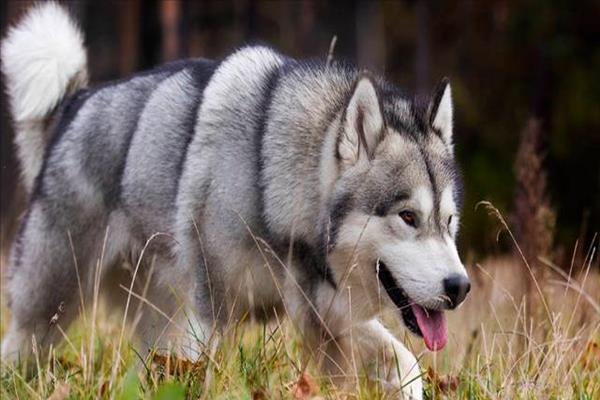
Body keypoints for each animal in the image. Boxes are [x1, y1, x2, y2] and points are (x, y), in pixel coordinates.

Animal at [0, 2, 468, 396]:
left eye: (448, 222)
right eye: (408, 216)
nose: (459, 287)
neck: (271, 178)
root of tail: (76, 102)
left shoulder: (327, 317)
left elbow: (405, 365)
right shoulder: (212, 314)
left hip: (156, 316)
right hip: (52, 305)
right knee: (21, 346)